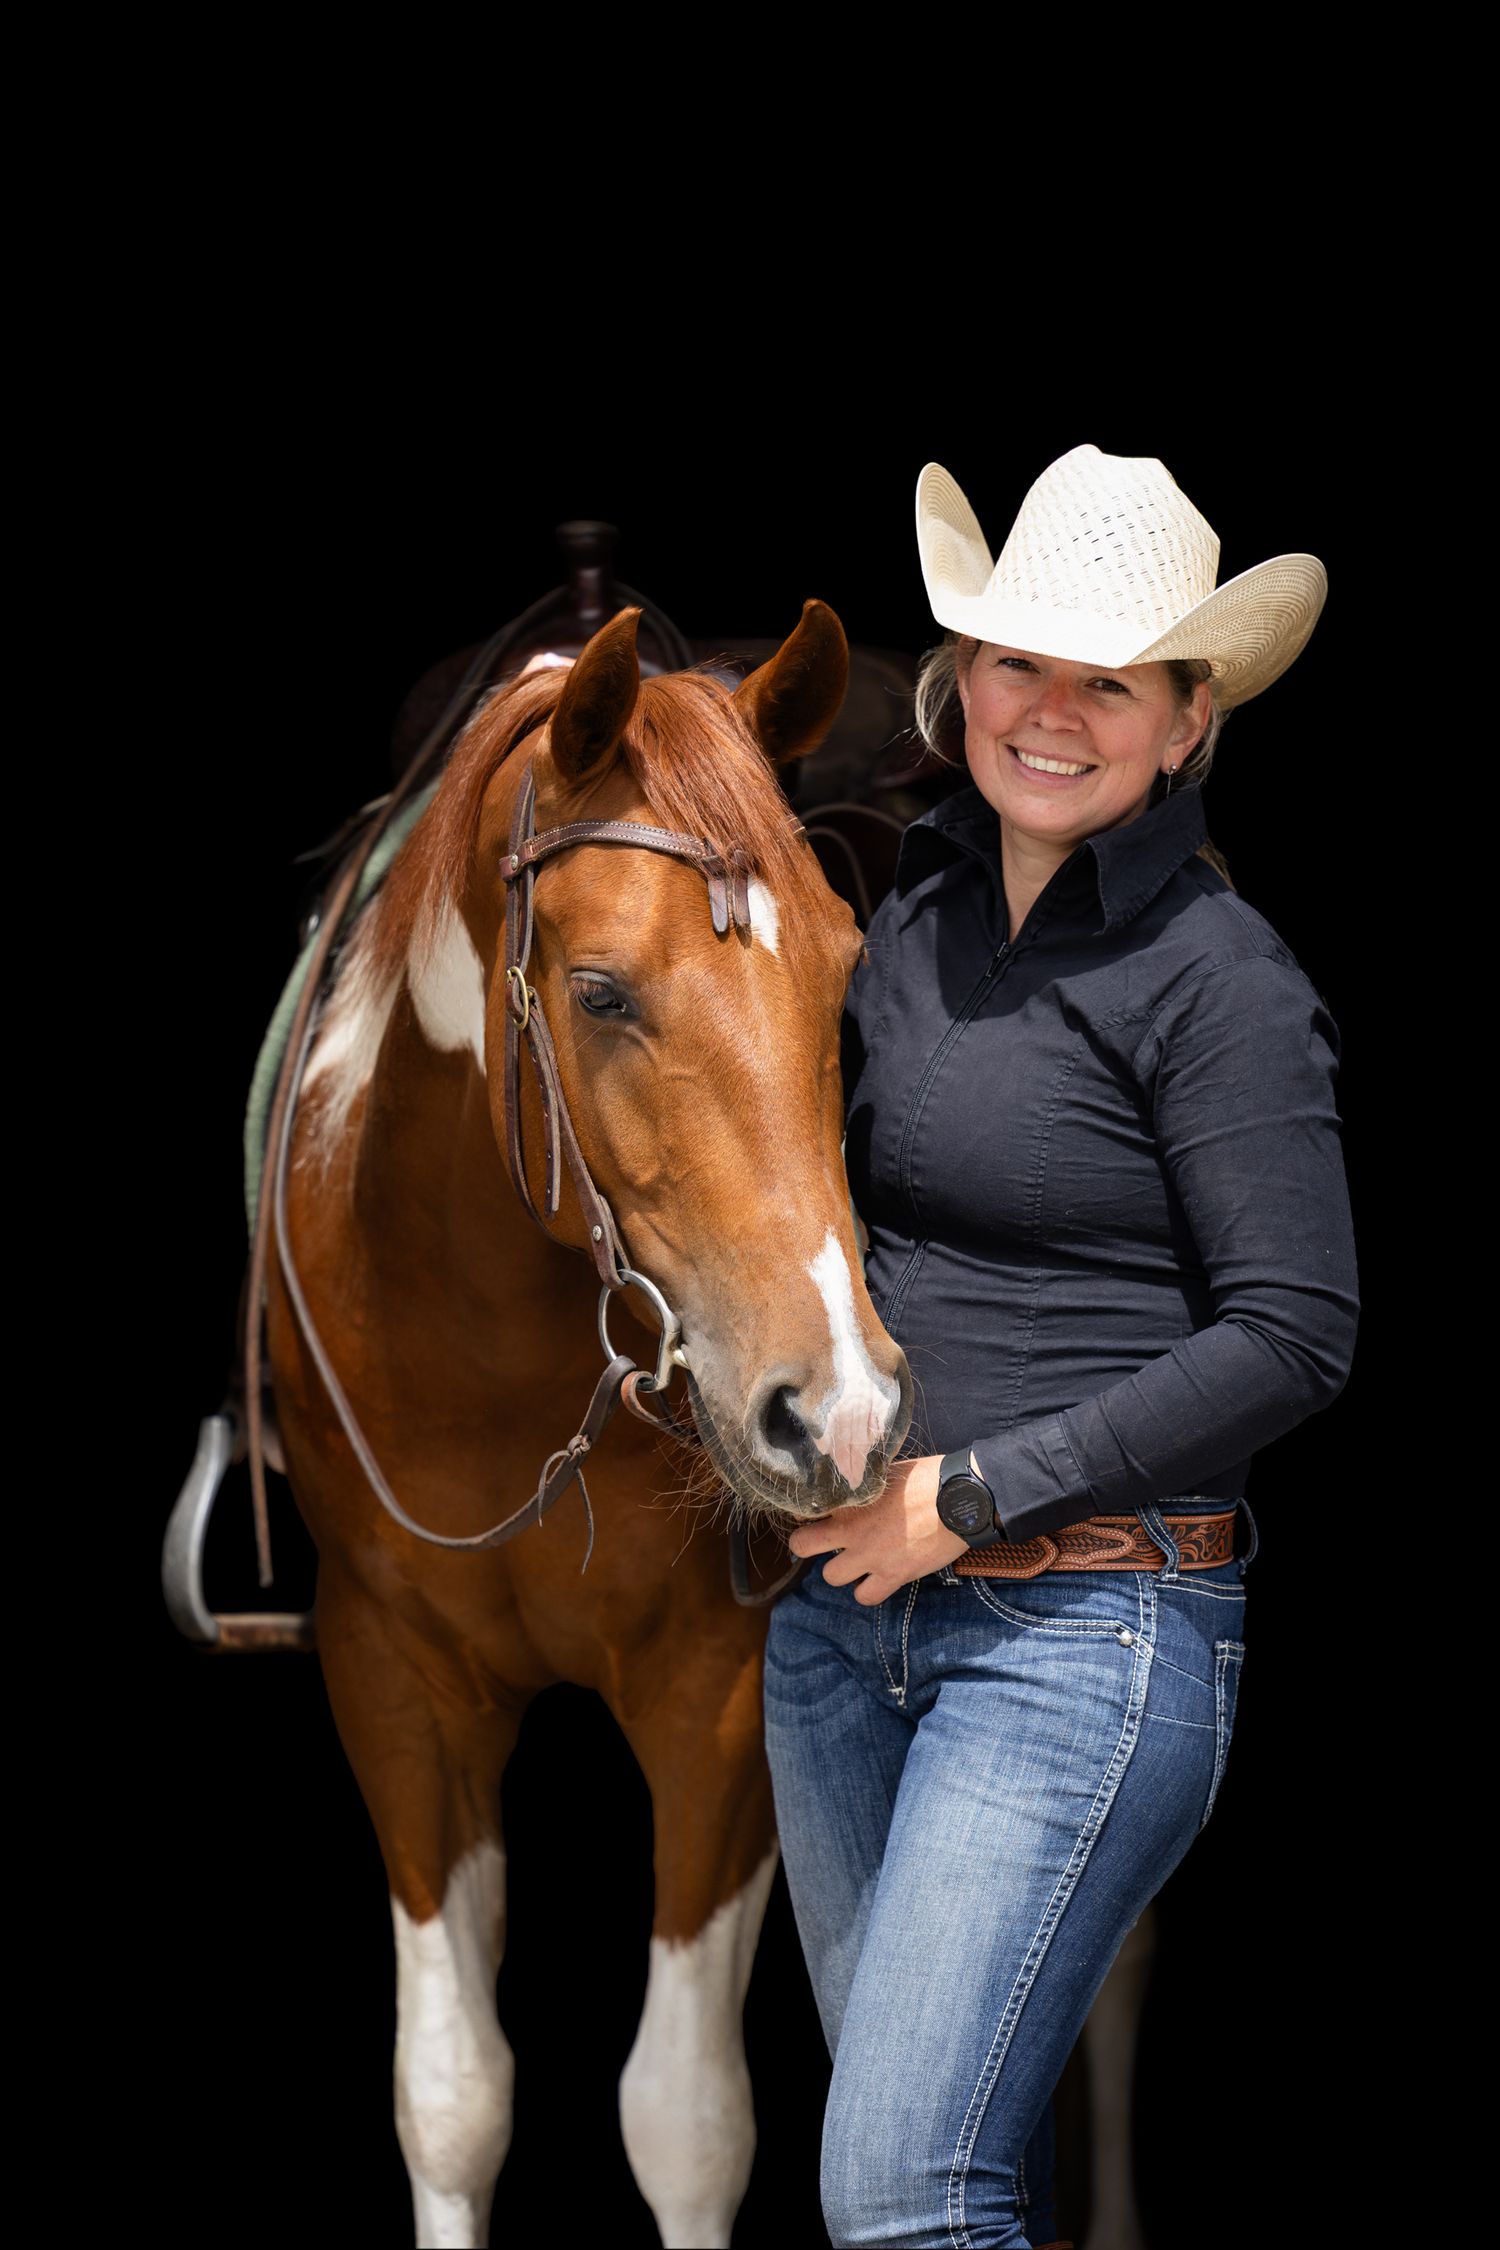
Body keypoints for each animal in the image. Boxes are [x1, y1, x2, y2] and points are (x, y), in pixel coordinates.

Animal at [261, 599, 912, 2247]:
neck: (484, 1338)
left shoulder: (716, 1689)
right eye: (605, 991)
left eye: (843, 973)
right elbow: (453, 2095)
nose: (839, 1410)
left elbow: (684, 2119)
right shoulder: (391, 1677)